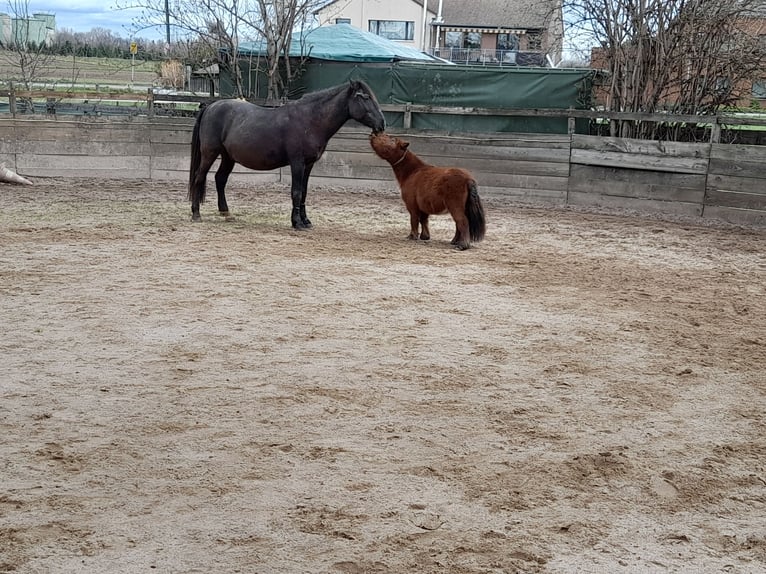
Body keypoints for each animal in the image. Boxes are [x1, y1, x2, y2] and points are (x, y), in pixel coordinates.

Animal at [189, 81, 388, 230]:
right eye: (365, 97)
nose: (382, 123)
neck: (310, 120)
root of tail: (211, 106)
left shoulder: (308, 164)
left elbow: (304, 192)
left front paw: (306, 221)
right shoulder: (297, 163)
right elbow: (296, 192)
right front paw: (296, 222)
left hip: (228, 157)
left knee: (220, 179)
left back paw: (226, 213)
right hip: (210, 153)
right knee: (199, 177)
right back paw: (196, 213)